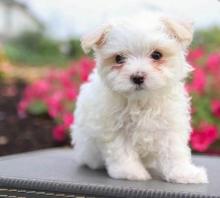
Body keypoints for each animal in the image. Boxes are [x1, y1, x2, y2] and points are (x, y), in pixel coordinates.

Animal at [71, 12, 208, 183]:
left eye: (157, 55)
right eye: (119, 58)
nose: (137, 77)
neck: (142, 102)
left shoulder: (170, 125)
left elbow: (174, 151)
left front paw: (184, 173)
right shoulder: (114, 127)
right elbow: (122, 150)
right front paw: (131, 172)